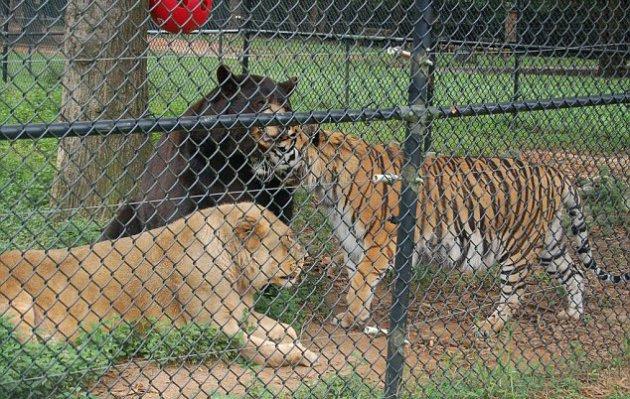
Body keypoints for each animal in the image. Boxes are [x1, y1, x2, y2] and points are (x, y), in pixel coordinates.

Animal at [0, 203, 316, 368]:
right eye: (287, 240)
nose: (307, 259)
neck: (239, 276)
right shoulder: (213, 329)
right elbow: (264, 348)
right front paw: (303, 354)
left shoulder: (240, 314)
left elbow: (286, 329)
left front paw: (295, 340)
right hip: (18, 302)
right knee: (26, 351)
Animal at [249, 126, 628, 338]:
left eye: (276, 140)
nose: (251, 153)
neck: (323, 184)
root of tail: (556, 172)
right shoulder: (353, 244)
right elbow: (359, 281)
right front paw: (357, 316)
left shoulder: (380, 242)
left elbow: (359, 283)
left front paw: (351, 316)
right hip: (548, 242)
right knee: (575, 272)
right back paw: (573, 314)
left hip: (517, 249)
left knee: (514, 294)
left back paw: (487, 327)